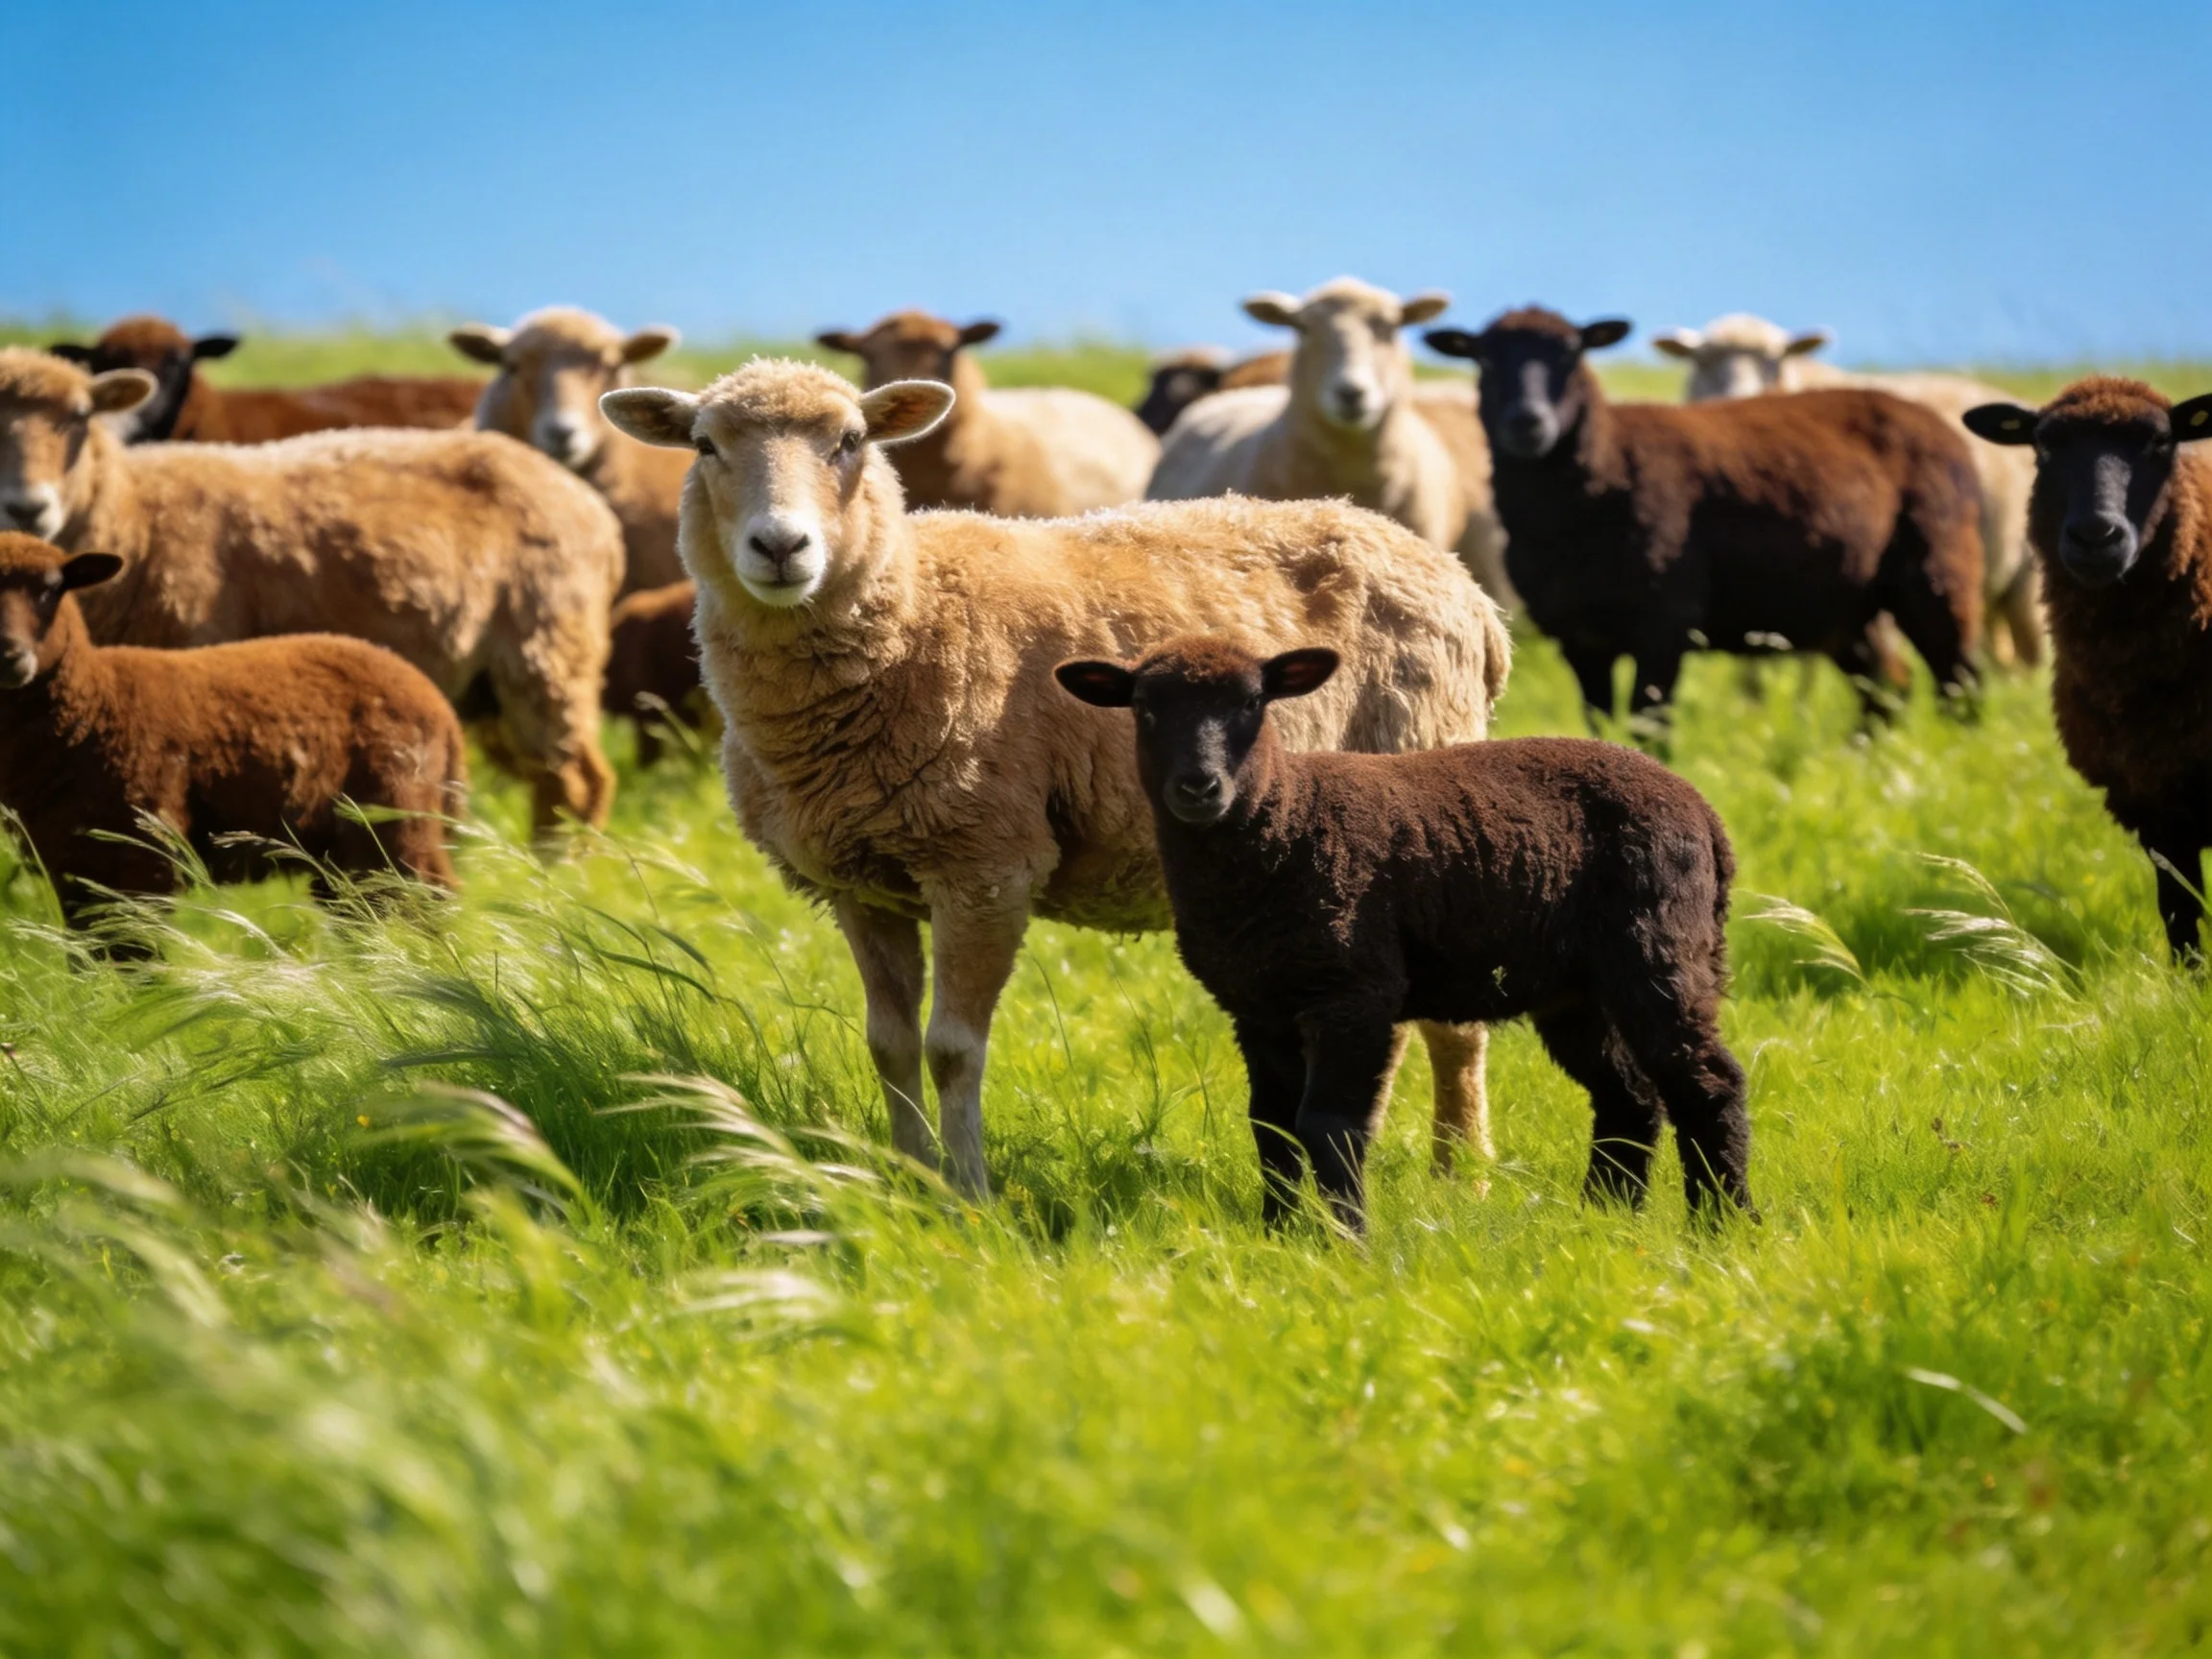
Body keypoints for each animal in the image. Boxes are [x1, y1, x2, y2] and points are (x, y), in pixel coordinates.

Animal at [0, 347, 622, 832]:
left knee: (577, 784)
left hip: (546, 654)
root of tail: (586, 502)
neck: (135, 512)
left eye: (79, 417)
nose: (28, 507)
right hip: (486, 685)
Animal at [0, 531, 465, 923]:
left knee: (430, 902)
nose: (9, 655)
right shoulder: (71, 864)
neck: (94, 704)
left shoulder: (146, 854)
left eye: (50, 589)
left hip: (394, 820)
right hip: (338, 849)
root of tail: (440, 707)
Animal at [1054, 636, 1752, 1233]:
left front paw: (1345, 1242)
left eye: (1252, 703)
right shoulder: (1257, 1006)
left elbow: (1330, 1125)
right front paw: (1277, 1234)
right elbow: (1271, 1126)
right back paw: (1605, 1218)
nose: (1199, 787)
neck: (1285, 823)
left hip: (1657, 949)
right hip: (1574, 990)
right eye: (1145, 708)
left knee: (1707, 1084)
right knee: (1629, 1097)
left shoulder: (1355, 991)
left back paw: (1723, 1226)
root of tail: (1706, 815)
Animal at [1425, 308, 1983, 730]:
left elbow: (1650, 722)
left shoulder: (1667, 618)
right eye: (1484, 358)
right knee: (1886, 687)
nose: (1527, 421)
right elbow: (1599, 720)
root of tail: (1931, 419)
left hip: (1938, 569)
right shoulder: (1576, 635)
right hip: (1846, 606)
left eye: (1572, 353)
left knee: (1959, 679)